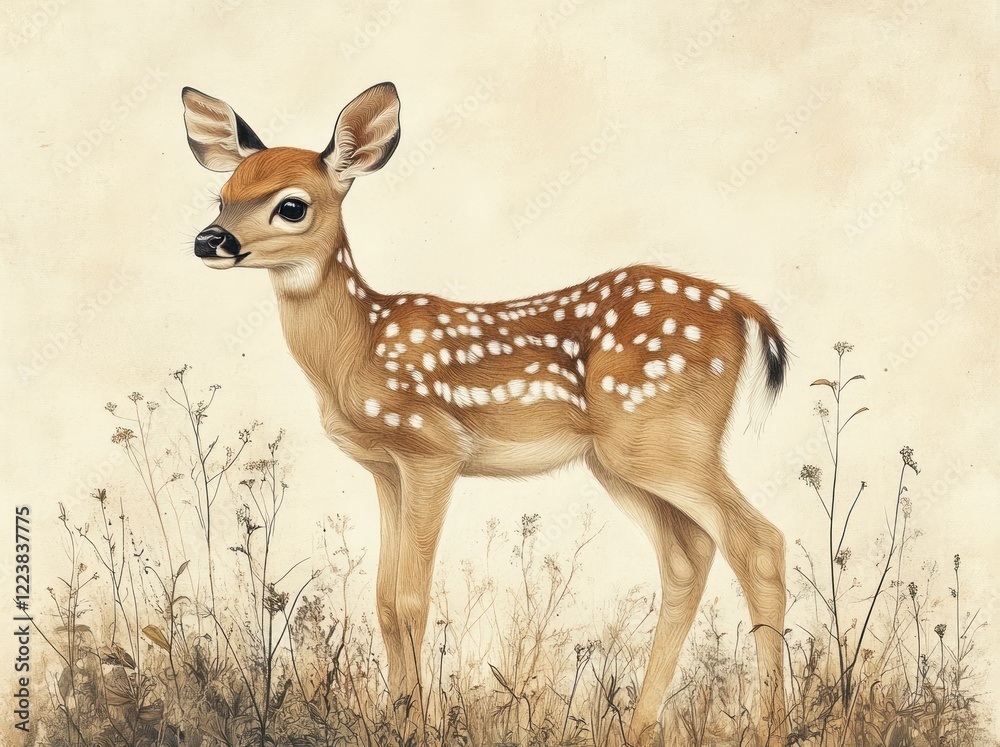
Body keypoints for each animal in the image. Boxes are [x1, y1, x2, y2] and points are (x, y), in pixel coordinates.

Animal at [181, 82, 789, 744]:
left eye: (291, 206)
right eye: (222, 195)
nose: (208, 240)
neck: (357, 350)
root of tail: (741, 305)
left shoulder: (432, 449)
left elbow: (412, 600)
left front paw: (420, 726)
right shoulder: (385, 467)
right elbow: (384, 601)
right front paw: (397, 719)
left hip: (661, 436)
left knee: (758, 542)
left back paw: (774, 725)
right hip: (622, 460)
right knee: (688, 557)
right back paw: (638, 727)